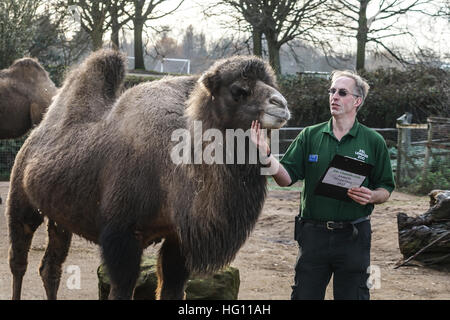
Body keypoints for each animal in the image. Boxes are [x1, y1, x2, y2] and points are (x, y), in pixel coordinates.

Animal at [7, 49, 290, 300]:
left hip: (60, 214)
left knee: (50, 267)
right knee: (18, 259)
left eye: (271, 83)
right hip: (20, 194)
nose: (282, 104)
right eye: (239, 91)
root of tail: (33, 136)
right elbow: (121, 290)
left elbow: (172, 288)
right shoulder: (121, 235)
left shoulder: (177, 239)